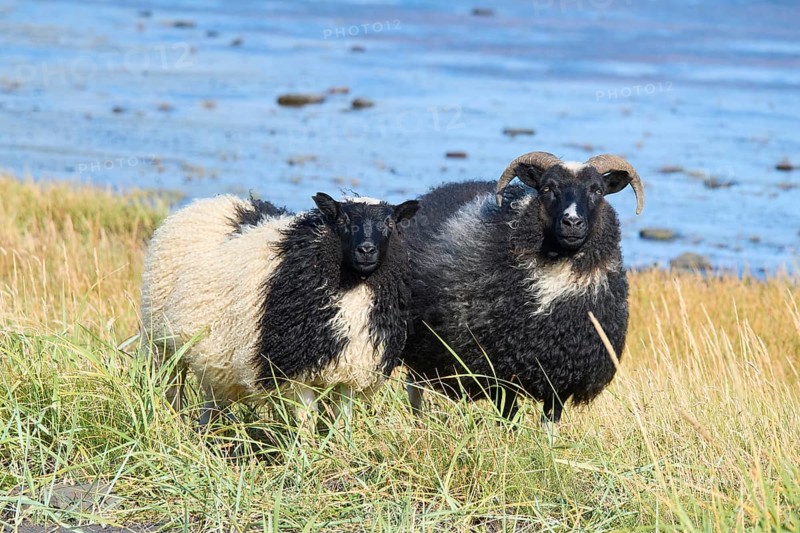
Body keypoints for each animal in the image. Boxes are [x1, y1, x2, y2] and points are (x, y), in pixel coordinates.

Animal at [140, 192, 420, 427]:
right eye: (342, 220)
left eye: (390, 223)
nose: (366, 250)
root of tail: (210, 201)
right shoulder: (295, 373)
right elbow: (307, 423)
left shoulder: (352, 368)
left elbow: (343, 422)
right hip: (162, 343)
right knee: (172, 390)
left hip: (213, 354)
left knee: (212, 398)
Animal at [401, 151, 645, 429]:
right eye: (547, 188)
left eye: (598, 190)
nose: (572, 221)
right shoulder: (501, 372)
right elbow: (509, 419)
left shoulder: (563, 373)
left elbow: (550, 422)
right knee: (413, 388)